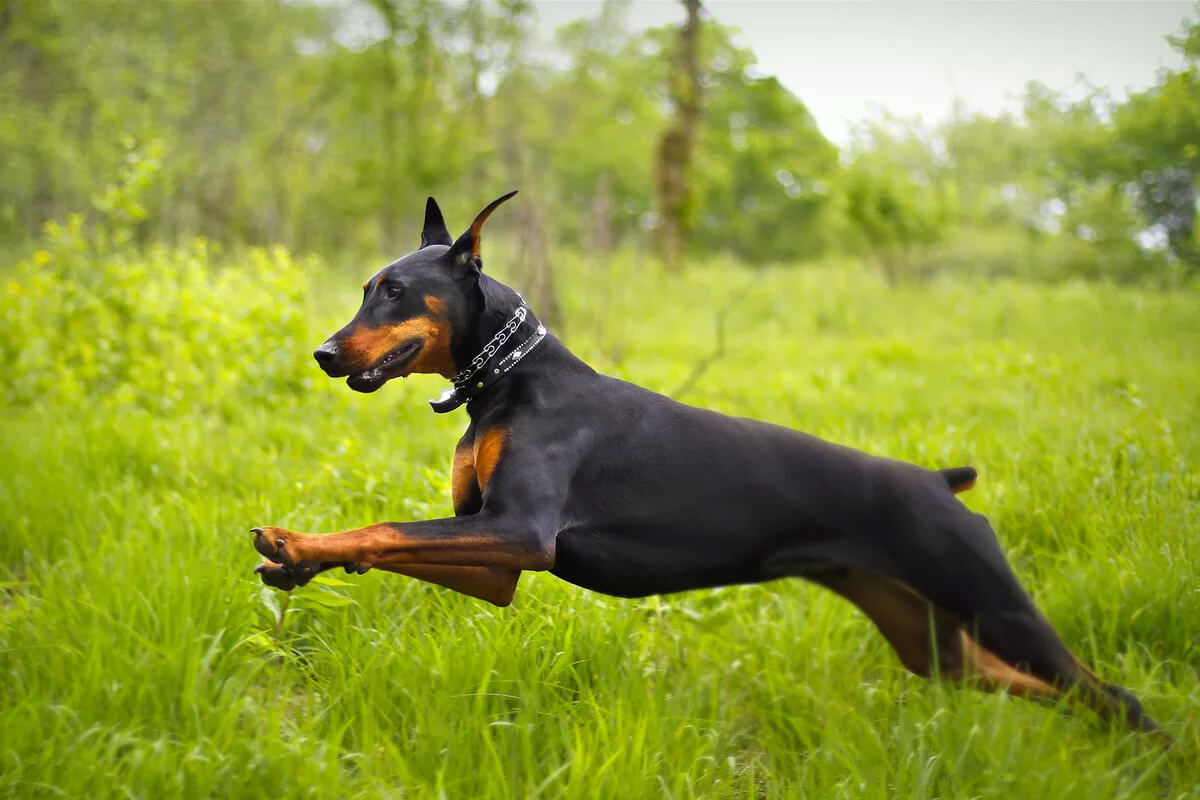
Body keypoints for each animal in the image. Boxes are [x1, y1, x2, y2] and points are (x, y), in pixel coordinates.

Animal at [250, 191, 1161, 738]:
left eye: (395, 291)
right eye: (368, 288)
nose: (325, 354)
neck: (511, 379)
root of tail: (938, 483)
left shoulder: (519, 532)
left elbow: (382, 526)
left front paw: (297, 545)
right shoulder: (495, 560)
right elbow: (391, 542)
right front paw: (302, 566)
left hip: (990, 600)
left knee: (1117, 697)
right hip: (932, 642)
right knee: (1060, 694)